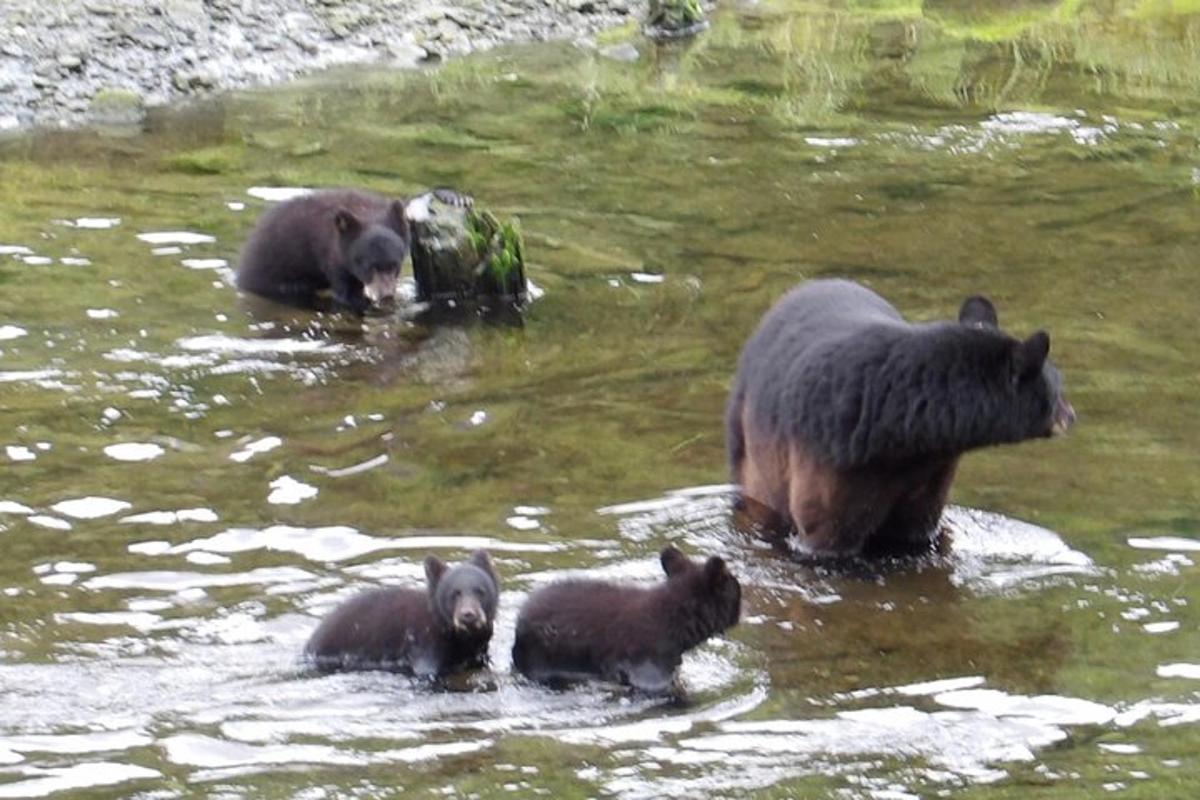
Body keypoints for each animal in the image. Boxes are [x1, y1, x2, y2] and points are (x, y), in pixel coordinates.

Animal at [724, 278, 1075, 561]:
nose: (1071, 415)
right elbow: (826, 532)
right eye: (1058, 387)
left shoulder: (931, 472)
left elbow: (916, 529)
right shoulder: (830, 458)